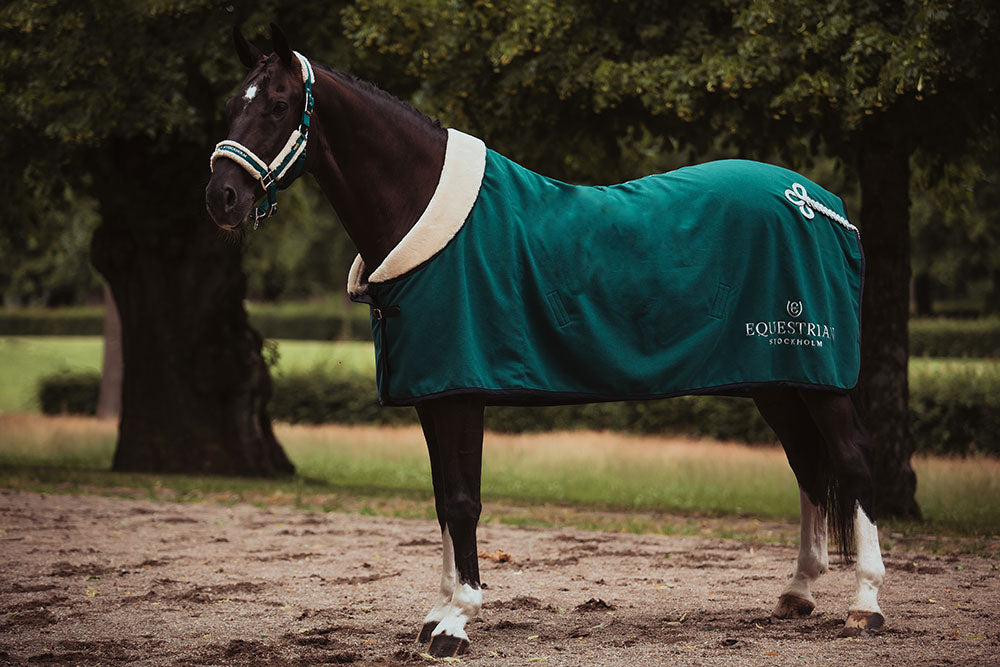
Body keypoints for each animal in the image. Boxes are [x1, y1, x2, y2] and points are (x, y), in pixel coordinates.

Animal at [205, 24, 886, 657]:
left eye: (279, 104)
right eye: (231, 104)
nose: (222, 198)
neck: (425, 215)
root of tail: (822, 204)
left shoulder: (460, 393)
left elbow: (462, 501)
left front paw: (456, 623)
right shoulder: (432, 394)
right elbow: (441, 501)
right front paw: (437, 613)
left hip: (818, 374)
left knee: (852, 460)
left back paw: (865, 606)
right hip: (779, 377)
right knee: (807, 465)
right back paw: (798, 591)